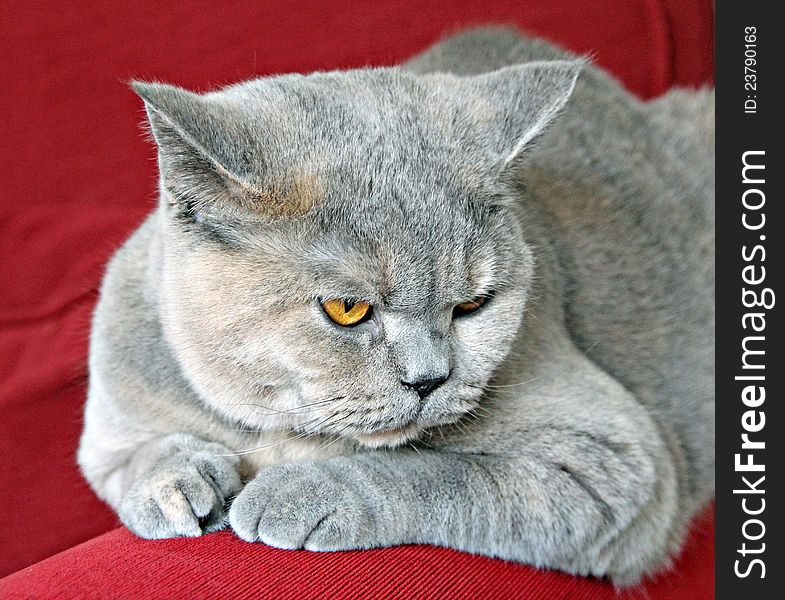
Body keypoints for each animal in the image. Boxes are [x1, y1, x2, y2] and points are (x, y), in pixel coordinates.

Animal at [78, 28, 712, 584]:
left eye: (474, 304)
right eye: (347, 310)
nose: (430, 378)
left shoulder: (614, 465)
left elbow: (433, 471)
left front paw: (299, 494)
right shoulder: (110, 425)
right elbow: (139, 455)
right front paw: (176, 486)